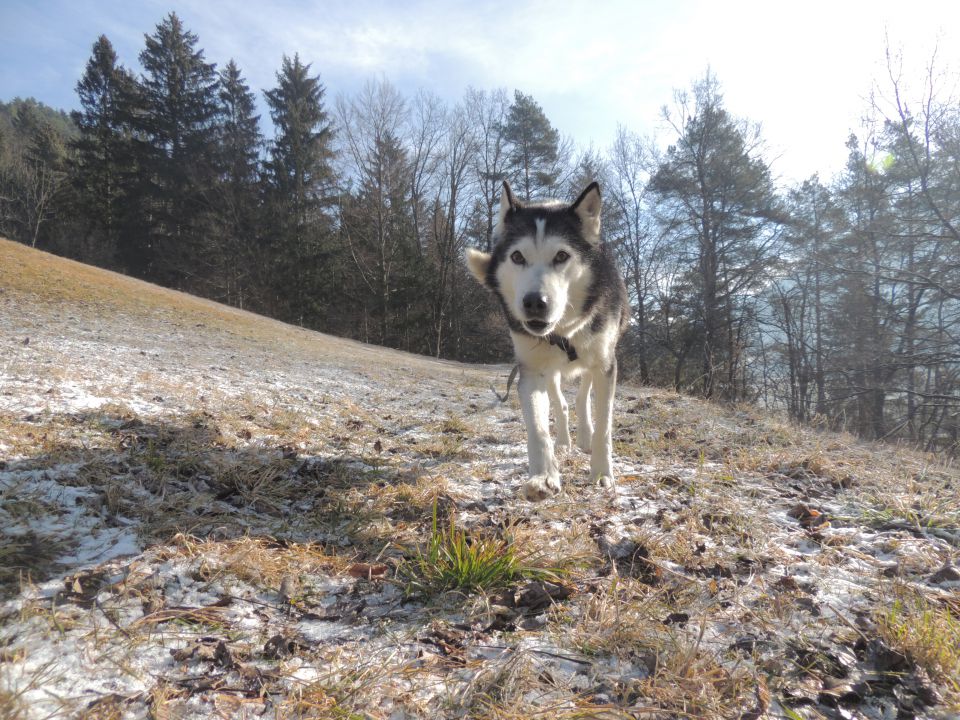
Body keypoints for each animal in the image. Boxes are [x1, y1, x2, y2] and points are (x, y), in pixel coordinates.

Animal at [464, 180, 632, 500]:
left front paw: (602, 473)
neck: (564, 331)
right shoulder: (531, 370)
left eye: (561, 256)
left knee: (582, 398)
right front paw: (543, 476)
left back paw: (584, 437)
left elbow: (604, 425)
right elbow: (538, 428)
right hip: (551, 371)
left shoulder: (606, 364)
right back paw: (564, 443)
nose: (534, 303)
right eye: (517, 257)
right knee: (561, 403)